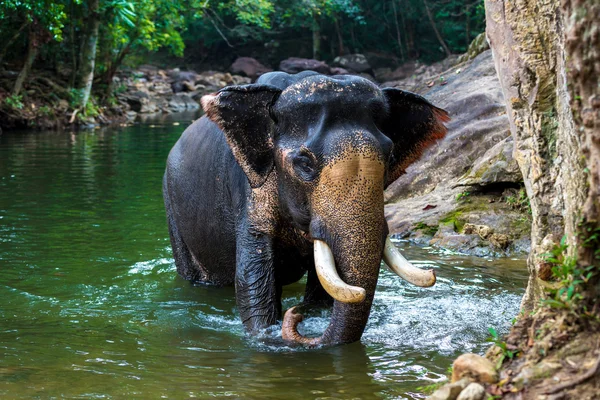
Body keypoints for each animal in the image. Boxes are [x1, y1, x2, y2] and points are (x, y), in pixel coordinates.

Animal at [162, 72, 448, 346]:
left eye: (389, 157)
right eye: (304, 163)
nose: (296, 315)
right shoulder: (248, 193)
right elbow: (251, 280)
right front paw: (268, 331)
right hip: (171, 203)